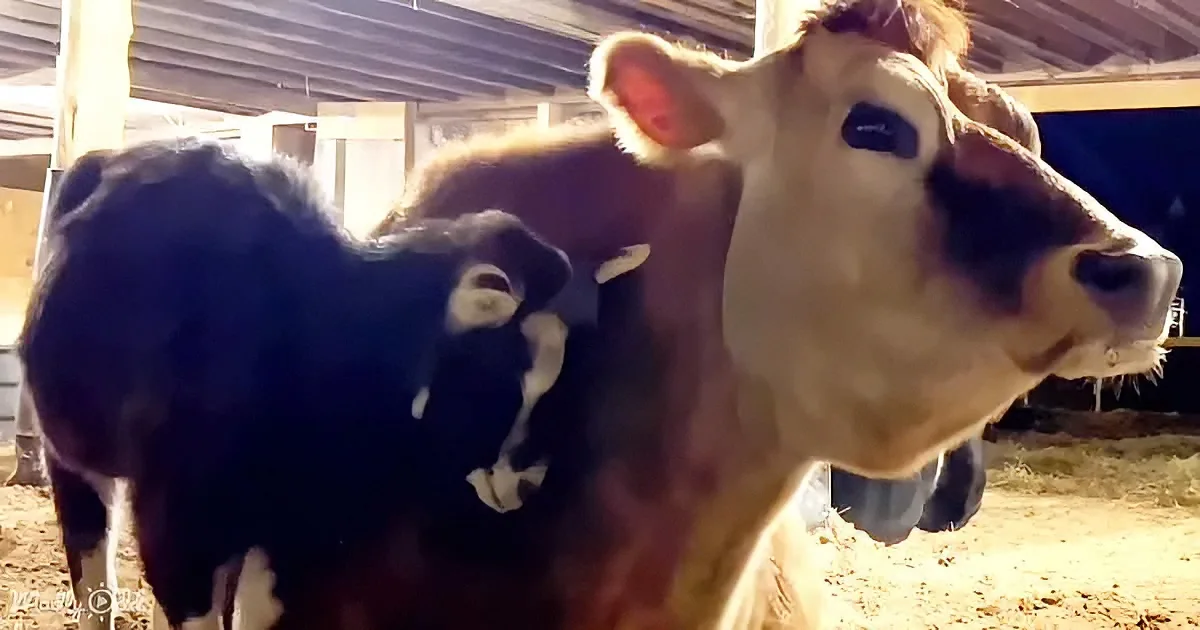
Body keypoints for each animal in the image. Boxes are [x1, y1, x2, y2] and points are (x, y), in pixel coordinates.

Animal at [17, 137, 588, 630]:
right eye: (498, 374)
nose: (528, 482)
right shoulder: (180, 528)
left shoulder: (284, 533)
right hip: (71, 458)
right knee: (94, 578)